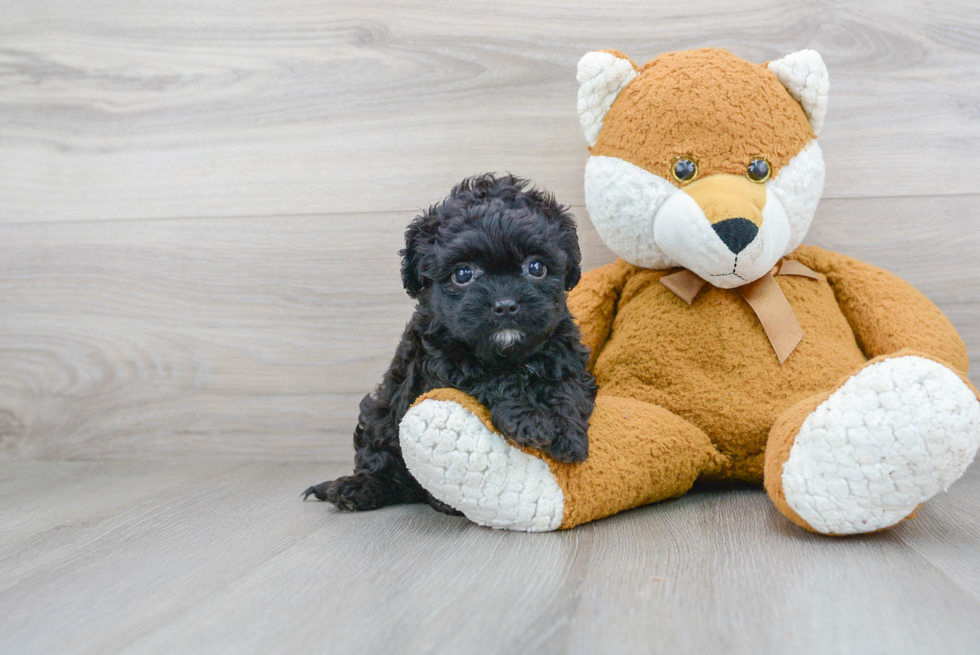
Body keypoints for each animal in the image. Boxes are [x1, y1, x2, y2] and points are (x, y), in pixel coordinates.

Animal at [306, 177, 596, 516]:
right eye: (463, 274)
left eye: (536, 268)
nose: (505, 305)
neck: (508, 354)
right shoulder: (444, 363)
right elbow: (495, 380)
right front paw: (532, 420)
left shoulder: (564, 350)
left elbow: (566, 386)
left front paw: (568, 431)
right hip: (380, 415)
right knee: (383, 463)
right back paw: (360, 488)